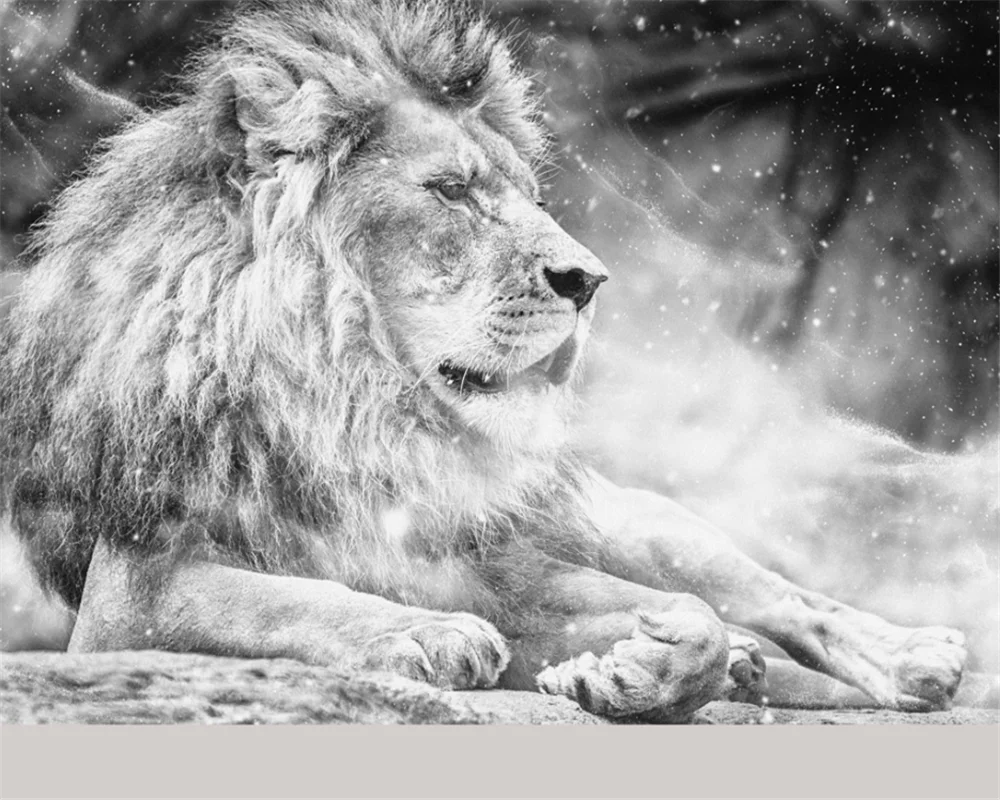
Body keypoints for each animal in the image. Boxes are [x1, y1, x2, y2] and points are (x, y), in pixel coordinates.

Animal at [0, 0, 968, 721]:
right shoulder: (129, 596)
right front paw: (429, 637)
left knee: (772, 596)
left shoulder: (499, 570)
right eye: (451, 192)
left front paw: (637, 671)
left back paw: (914, 655)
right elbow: (274, 599)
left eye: (530, 196)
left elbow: (694, 616)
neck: (357, 410)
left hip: (636, 522)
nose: (588, 280)